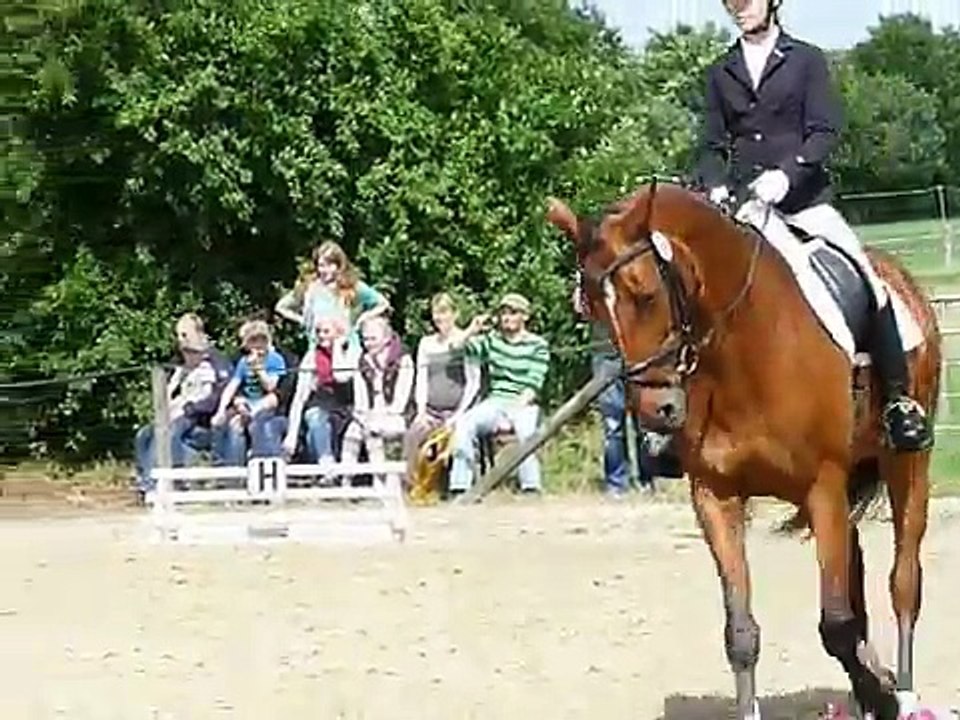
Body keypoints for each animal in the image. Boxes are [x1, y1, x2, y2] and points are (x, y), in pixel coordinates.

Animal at [546, 180, 941, 720]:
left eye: (644, 294)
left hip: (906, 464)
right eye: (590, 309)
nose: (656, 412)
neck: (742, 349)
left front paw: (881, 693)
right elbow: (742, 632)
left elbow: (835, 626)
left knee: (904, 584)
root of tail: (902, 280)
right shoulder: (715, 494)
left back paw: (902, 693)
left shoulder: (823, 484)